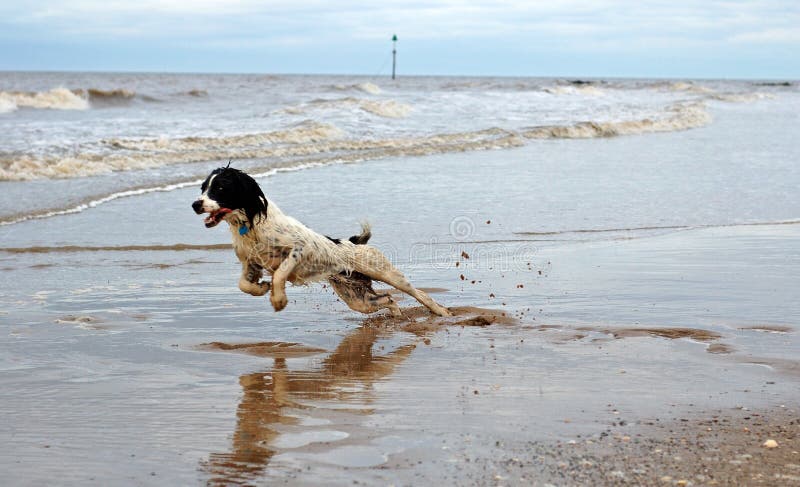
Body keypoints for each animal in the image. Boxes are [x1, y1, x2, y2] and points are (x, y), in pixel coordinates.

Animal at [189, 168, 450, 318]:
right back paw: (396, 317)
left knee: (419, 294)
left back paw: (442, 313)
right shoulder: (250, 263)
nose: (195, 204)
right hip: (357, 298)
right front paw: (262, 288)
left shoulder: (298, 249)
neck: (251, 225)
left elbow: (280, 273)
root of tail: (354, 243)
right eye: (203, 188)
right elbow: (244, 284)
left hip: (386, 272)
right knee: (388, 299)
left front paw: (278, 298)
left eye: (220, 188)